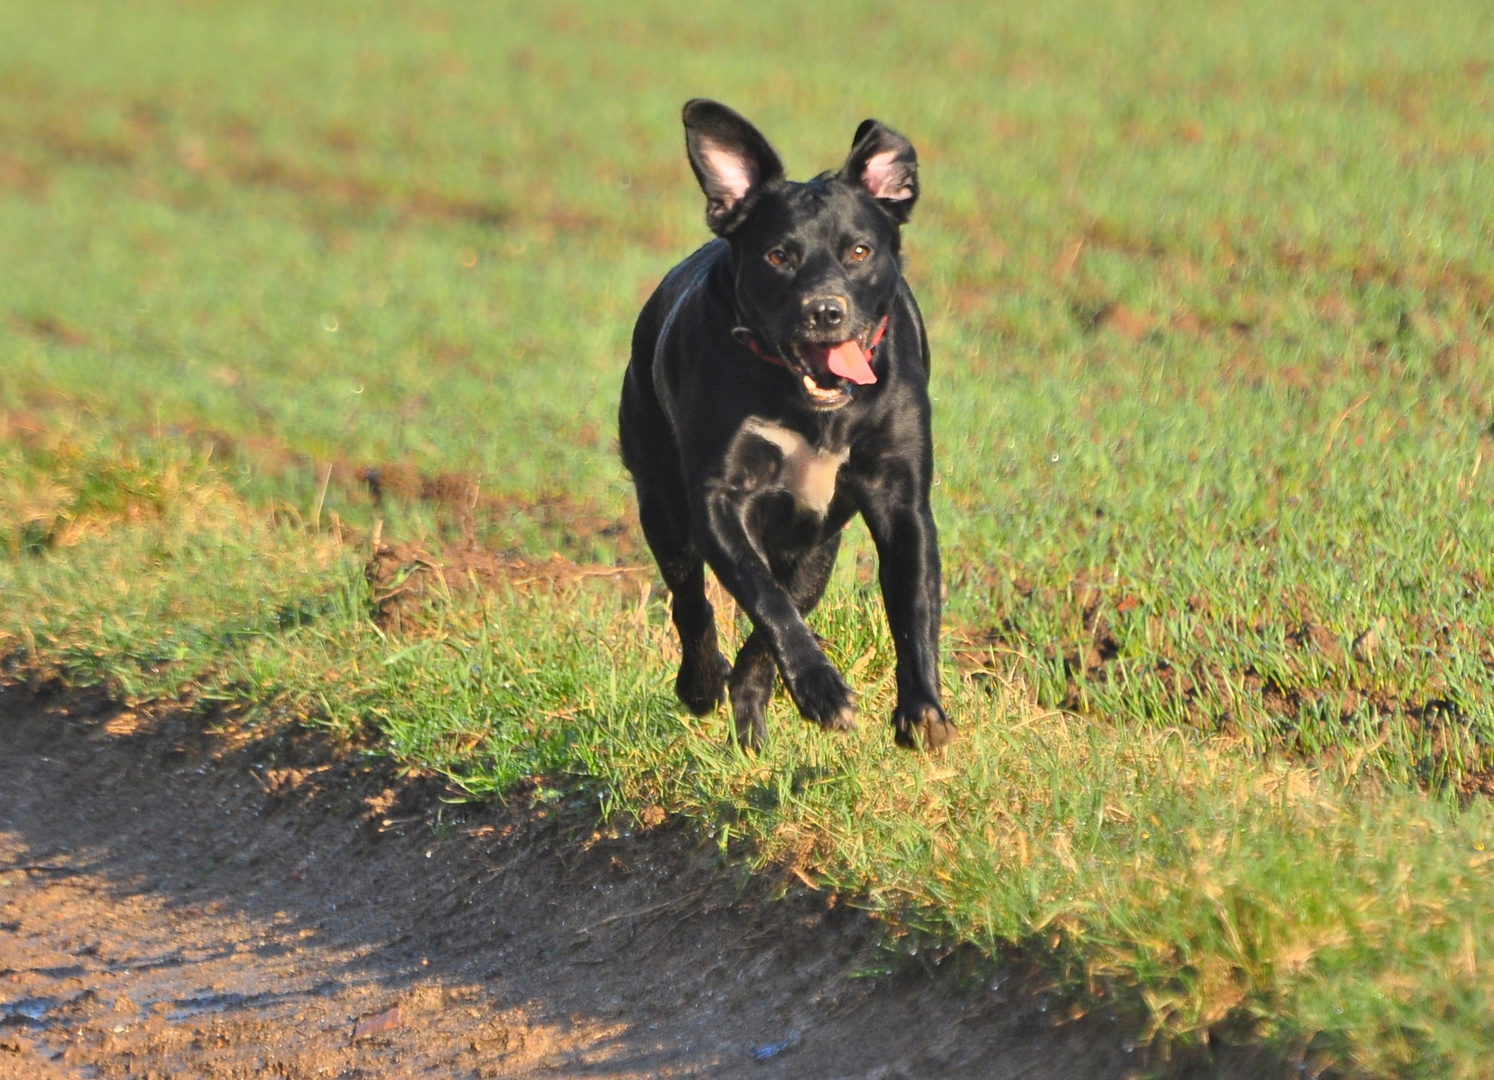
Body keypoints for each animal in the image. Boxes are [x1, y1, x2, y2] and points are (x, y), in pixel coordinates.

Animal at [621, 101, 956, 752]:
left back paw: (751, 735)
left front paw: (922, 710)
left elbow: (912, 605)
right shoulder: (718, 499)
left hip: (816, 547)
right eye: (778, 255)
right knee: (691, 600)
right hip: (661, 500)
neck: (813, 409)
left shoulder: (899, 499)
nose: (824, 310)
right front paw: (824, 690)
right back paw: (702, 684)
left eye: (859, 251)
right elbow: (764, 598)